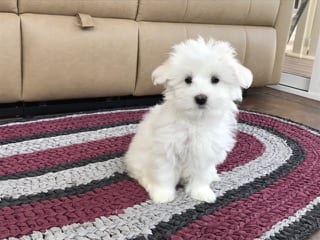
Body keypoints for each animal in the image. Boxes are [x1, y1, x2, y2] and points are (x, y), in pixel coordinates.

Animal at [125, 37, 252, 202]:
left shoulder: (205, 151)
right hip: (138, 161)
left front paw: (201, 193)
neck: (196, 121)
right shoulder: (166, 149)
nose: (201, 98)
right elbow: (164, 174)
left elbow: (201, 175)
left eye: (215, 79)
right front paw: (163, 195)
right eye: (188, 80)